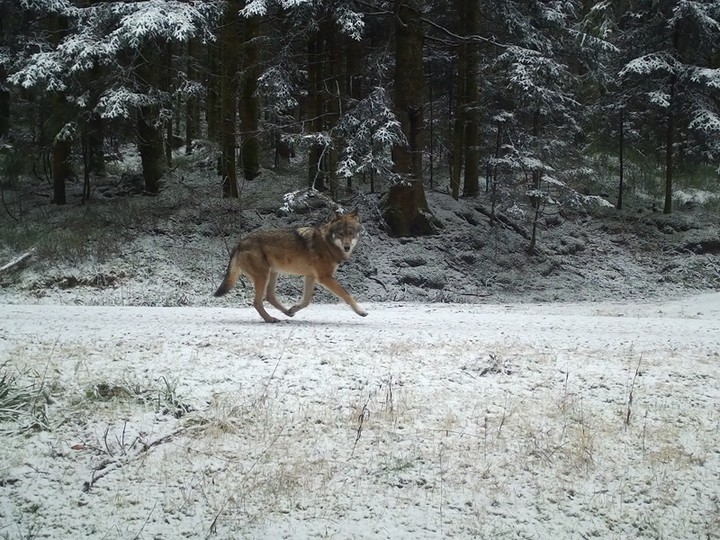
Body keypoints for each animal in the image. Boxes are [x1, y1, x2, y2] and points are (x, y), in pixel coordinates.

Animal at [214, 209, 368, 323]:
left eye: (351, 233)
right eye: (340, 234)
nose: (347, 247)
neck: (328, 243)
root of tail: (240, 243)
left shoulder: (310, 277)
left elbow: (306, 301)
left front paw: (293, 309)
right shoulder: (325, 277)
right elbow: (347, 295)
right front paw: (361, 311)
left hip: (272, 274)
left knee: (269, 297)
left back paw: (287, 312)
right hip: (263, 277)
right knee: (257, 302)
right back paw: (270, 319)